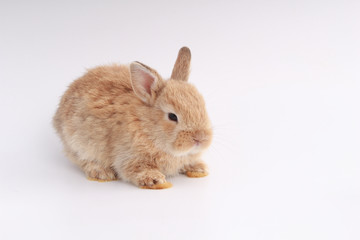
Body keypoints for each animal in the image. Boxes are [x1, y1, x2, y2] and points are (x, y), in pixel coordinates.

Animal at [52, 47, 212, 189]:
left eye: (203, 106)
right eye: (172, 116)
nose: (200, 138)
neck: (147, 126)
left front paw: (199, 169)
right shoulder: (129, 158)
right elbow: (136, 170)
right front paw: (156, 180)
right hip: (78, 144)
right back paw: (102, 173)